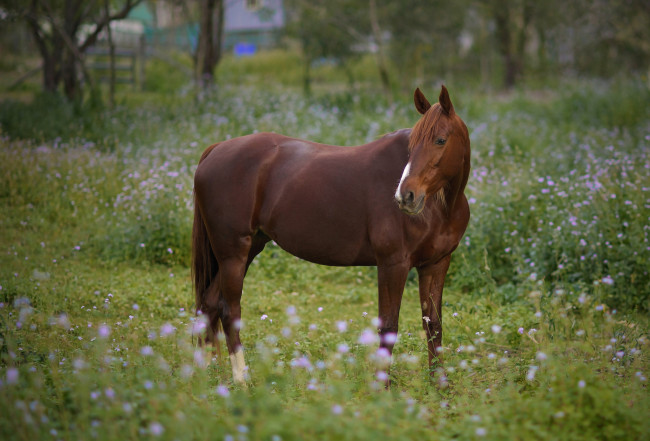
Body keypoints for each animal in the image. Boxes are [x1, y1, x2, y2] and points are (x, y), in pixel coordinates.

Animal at [190, 85, 468, 382]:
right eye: (412, 144)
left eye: (440, 140)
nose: (406, 196)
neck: (440, 206)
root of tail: (215, 150)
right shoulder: (393, 264)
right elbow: (389, 327)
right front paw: (382, 388)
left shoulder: (436, 264)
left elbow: (434, 325)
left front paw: (440, 386)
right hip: (233, 253)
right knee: (229, 310)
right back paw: (242, 380)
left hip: (248, 248)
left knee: (208, 304)